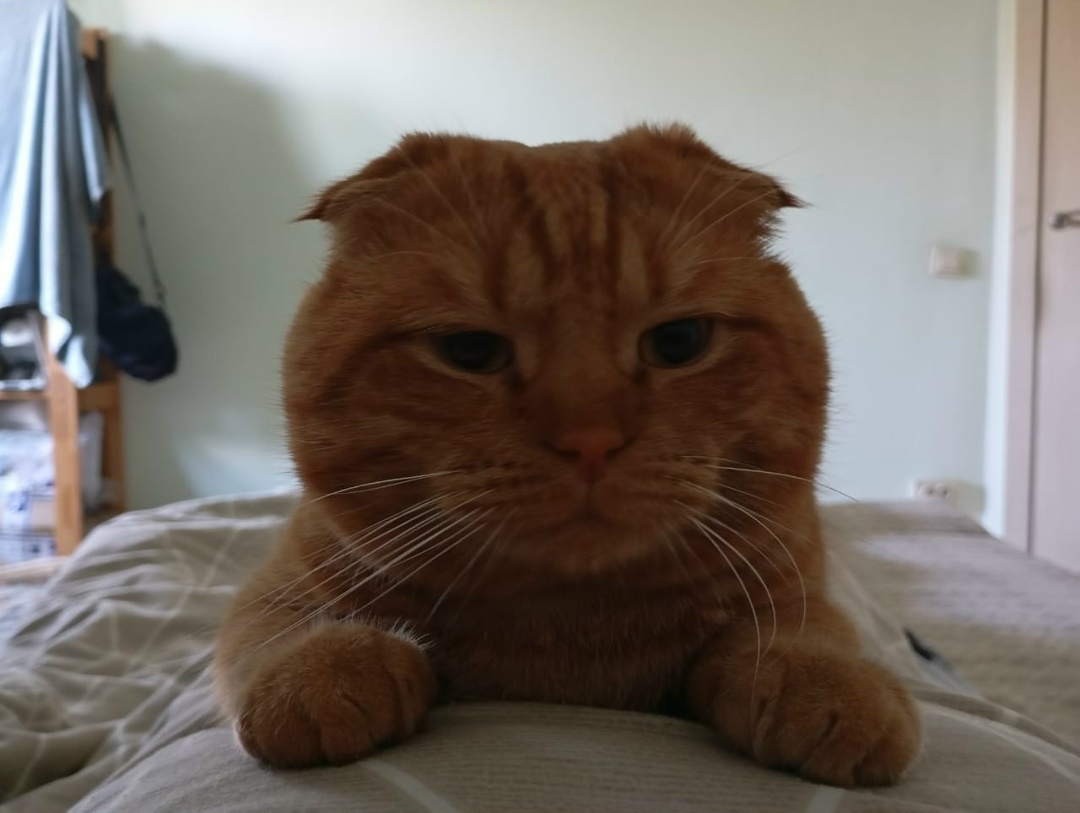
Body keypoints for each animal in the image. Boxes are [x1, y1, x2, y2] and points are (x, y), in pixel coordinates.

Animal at [213, 123, 921, 787]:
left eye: (680, 341)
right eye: (470, 350)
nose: (590, 439)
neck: (568, 637)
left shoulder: (797, 582)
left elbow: (806, 628)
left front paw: (829, 683)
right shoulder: (282, 576)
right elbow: (275, 624)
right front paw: (320, 668)